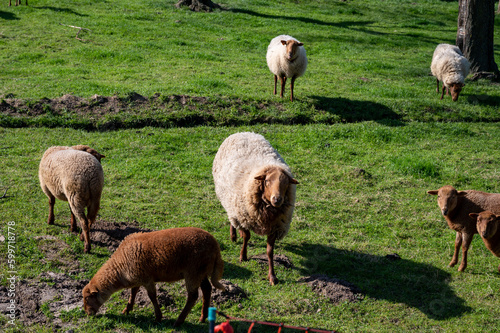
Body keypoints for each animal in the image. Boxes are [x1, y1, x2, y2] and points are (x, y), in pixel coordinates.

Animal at [82, 227, 225, 326]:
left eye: (87, 298)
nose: (88, 313)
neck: (120, 267)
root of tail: (215, 246)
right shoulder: (138, 277)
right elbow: (133, 292)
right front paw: (127, 309)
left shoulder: (147, 278)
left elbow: (152, 297)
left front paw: (158, 317)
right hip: (201, 272)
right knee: (207, 289)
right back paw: (203, 317)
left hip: (193, 272)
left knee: (193, 296)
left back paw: (179, 321)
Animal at [211, 131, 296, 284]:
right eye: (267, 181)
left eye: (286, 184)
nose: (277, 199)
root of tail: (243, 132)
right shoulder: (244, 217)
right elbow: (247, 237)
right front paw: (243, 256)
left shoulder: (275, 227)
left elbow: (270, 251)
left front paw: (272, 277)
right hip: (232, 205)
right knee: (232, 219)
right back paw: (233, 235)